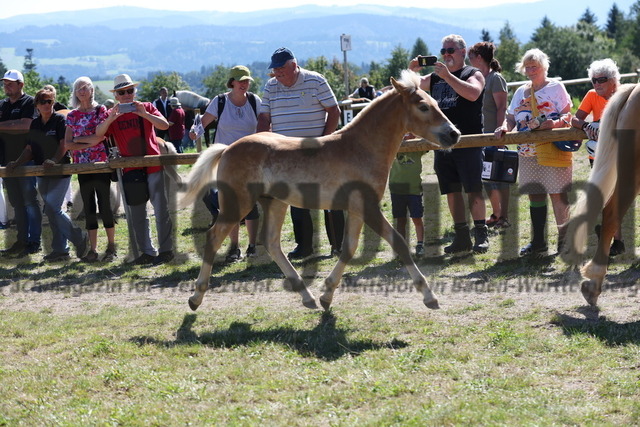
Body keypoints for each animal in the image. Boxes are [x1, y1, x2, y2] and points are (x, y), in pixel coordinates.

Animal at [180, 69, 460, 310]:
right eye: (423, 106)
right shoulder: (368, 208)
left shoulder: (357, 210)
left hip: (275, 203)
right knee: (213, 237)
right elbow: (399, 243)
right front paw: (429, 297)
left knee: (271, 244)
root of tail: (227, 148)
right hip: (238, 204)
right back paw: (195, 297)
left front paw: (326, 295)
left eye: (435, 102)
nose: (454, 134)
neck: (361, 148)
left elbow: (348, 248)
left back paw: (308, 297)